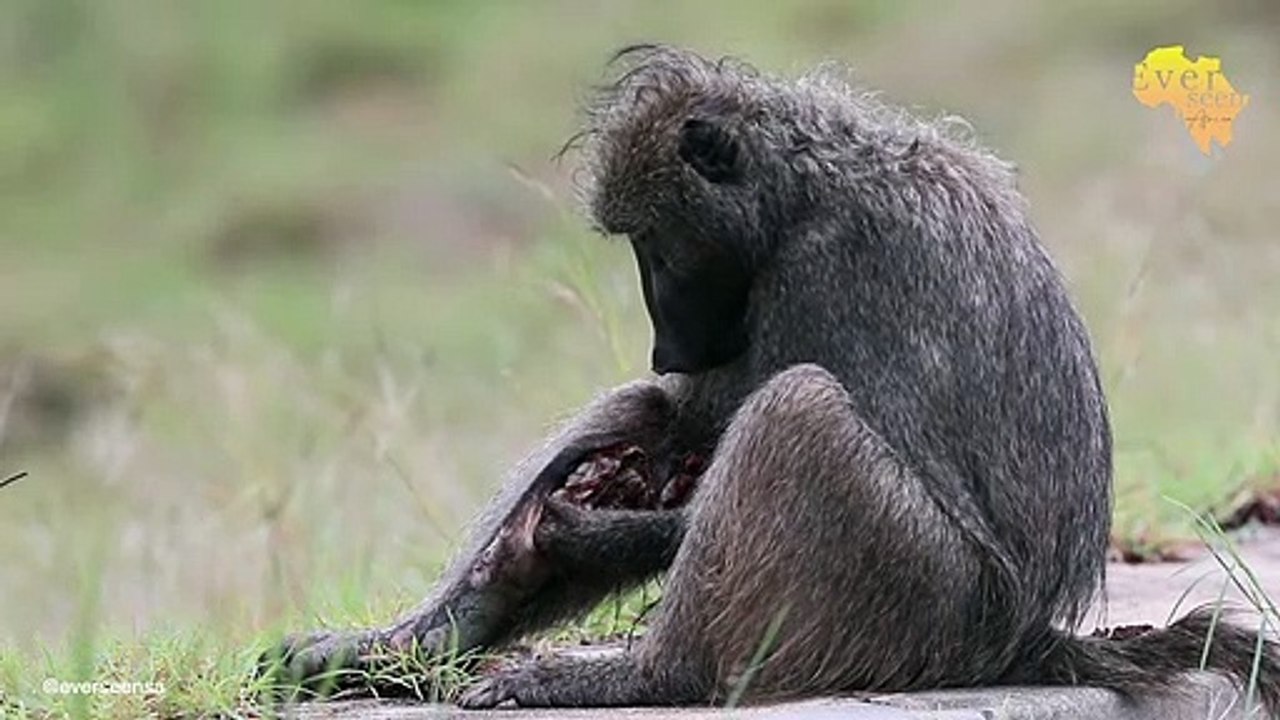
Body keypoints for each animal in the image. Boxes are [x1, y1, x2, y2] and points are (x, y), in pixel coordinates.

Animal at [265, 45, 1280, 713]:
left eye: (655, 246)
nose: (663, 345)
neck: (804, 190)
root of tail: (1027, 636)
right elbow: (685, 415)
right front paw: (530, 552)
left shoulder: (838, 263)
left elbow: (768, 414)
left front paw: (596, 535)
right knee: (679, 410)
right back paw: (428, 637)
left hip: (935, 609)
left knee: (799, 412)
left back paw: (644, 677)